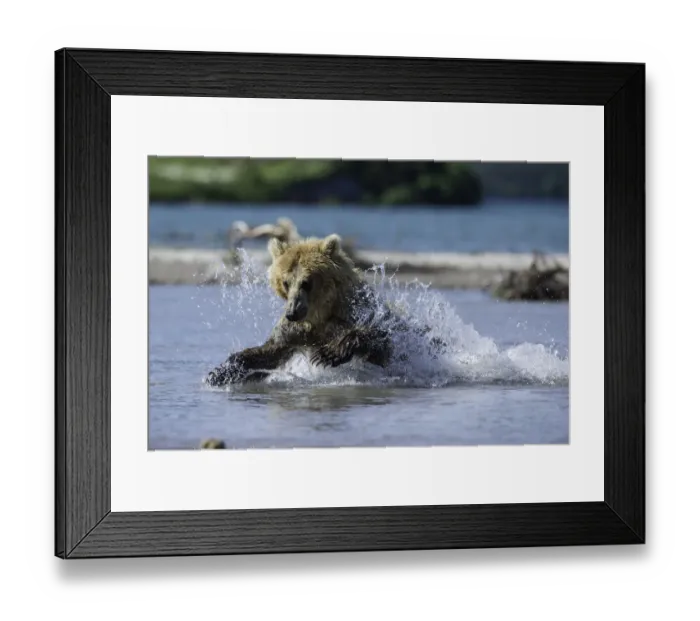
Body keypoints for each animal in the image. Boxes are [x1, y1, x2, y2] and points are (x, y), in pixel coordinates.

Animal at [205, 233, 441, 386]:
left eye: (306, 282)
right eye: (285, 282)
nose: (293, 312)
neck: (318, 315)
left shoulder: (354, 314)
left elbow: (380, 340)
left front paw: (328, 354)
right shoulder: (296, 332)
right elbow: (268, 351)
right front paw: (219, 372)